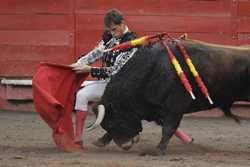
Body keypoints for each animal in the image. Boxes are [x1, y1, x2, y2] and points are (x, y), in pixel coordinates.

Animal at [91, 38, 250, 154]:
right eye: (107, 125)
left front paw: (158, 150)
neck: (154, 69)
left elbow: (168, 128)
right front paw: (100, 141)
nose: (125, 146)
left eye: (114, 123)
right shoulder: (153, 108)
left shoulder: (175, 107)